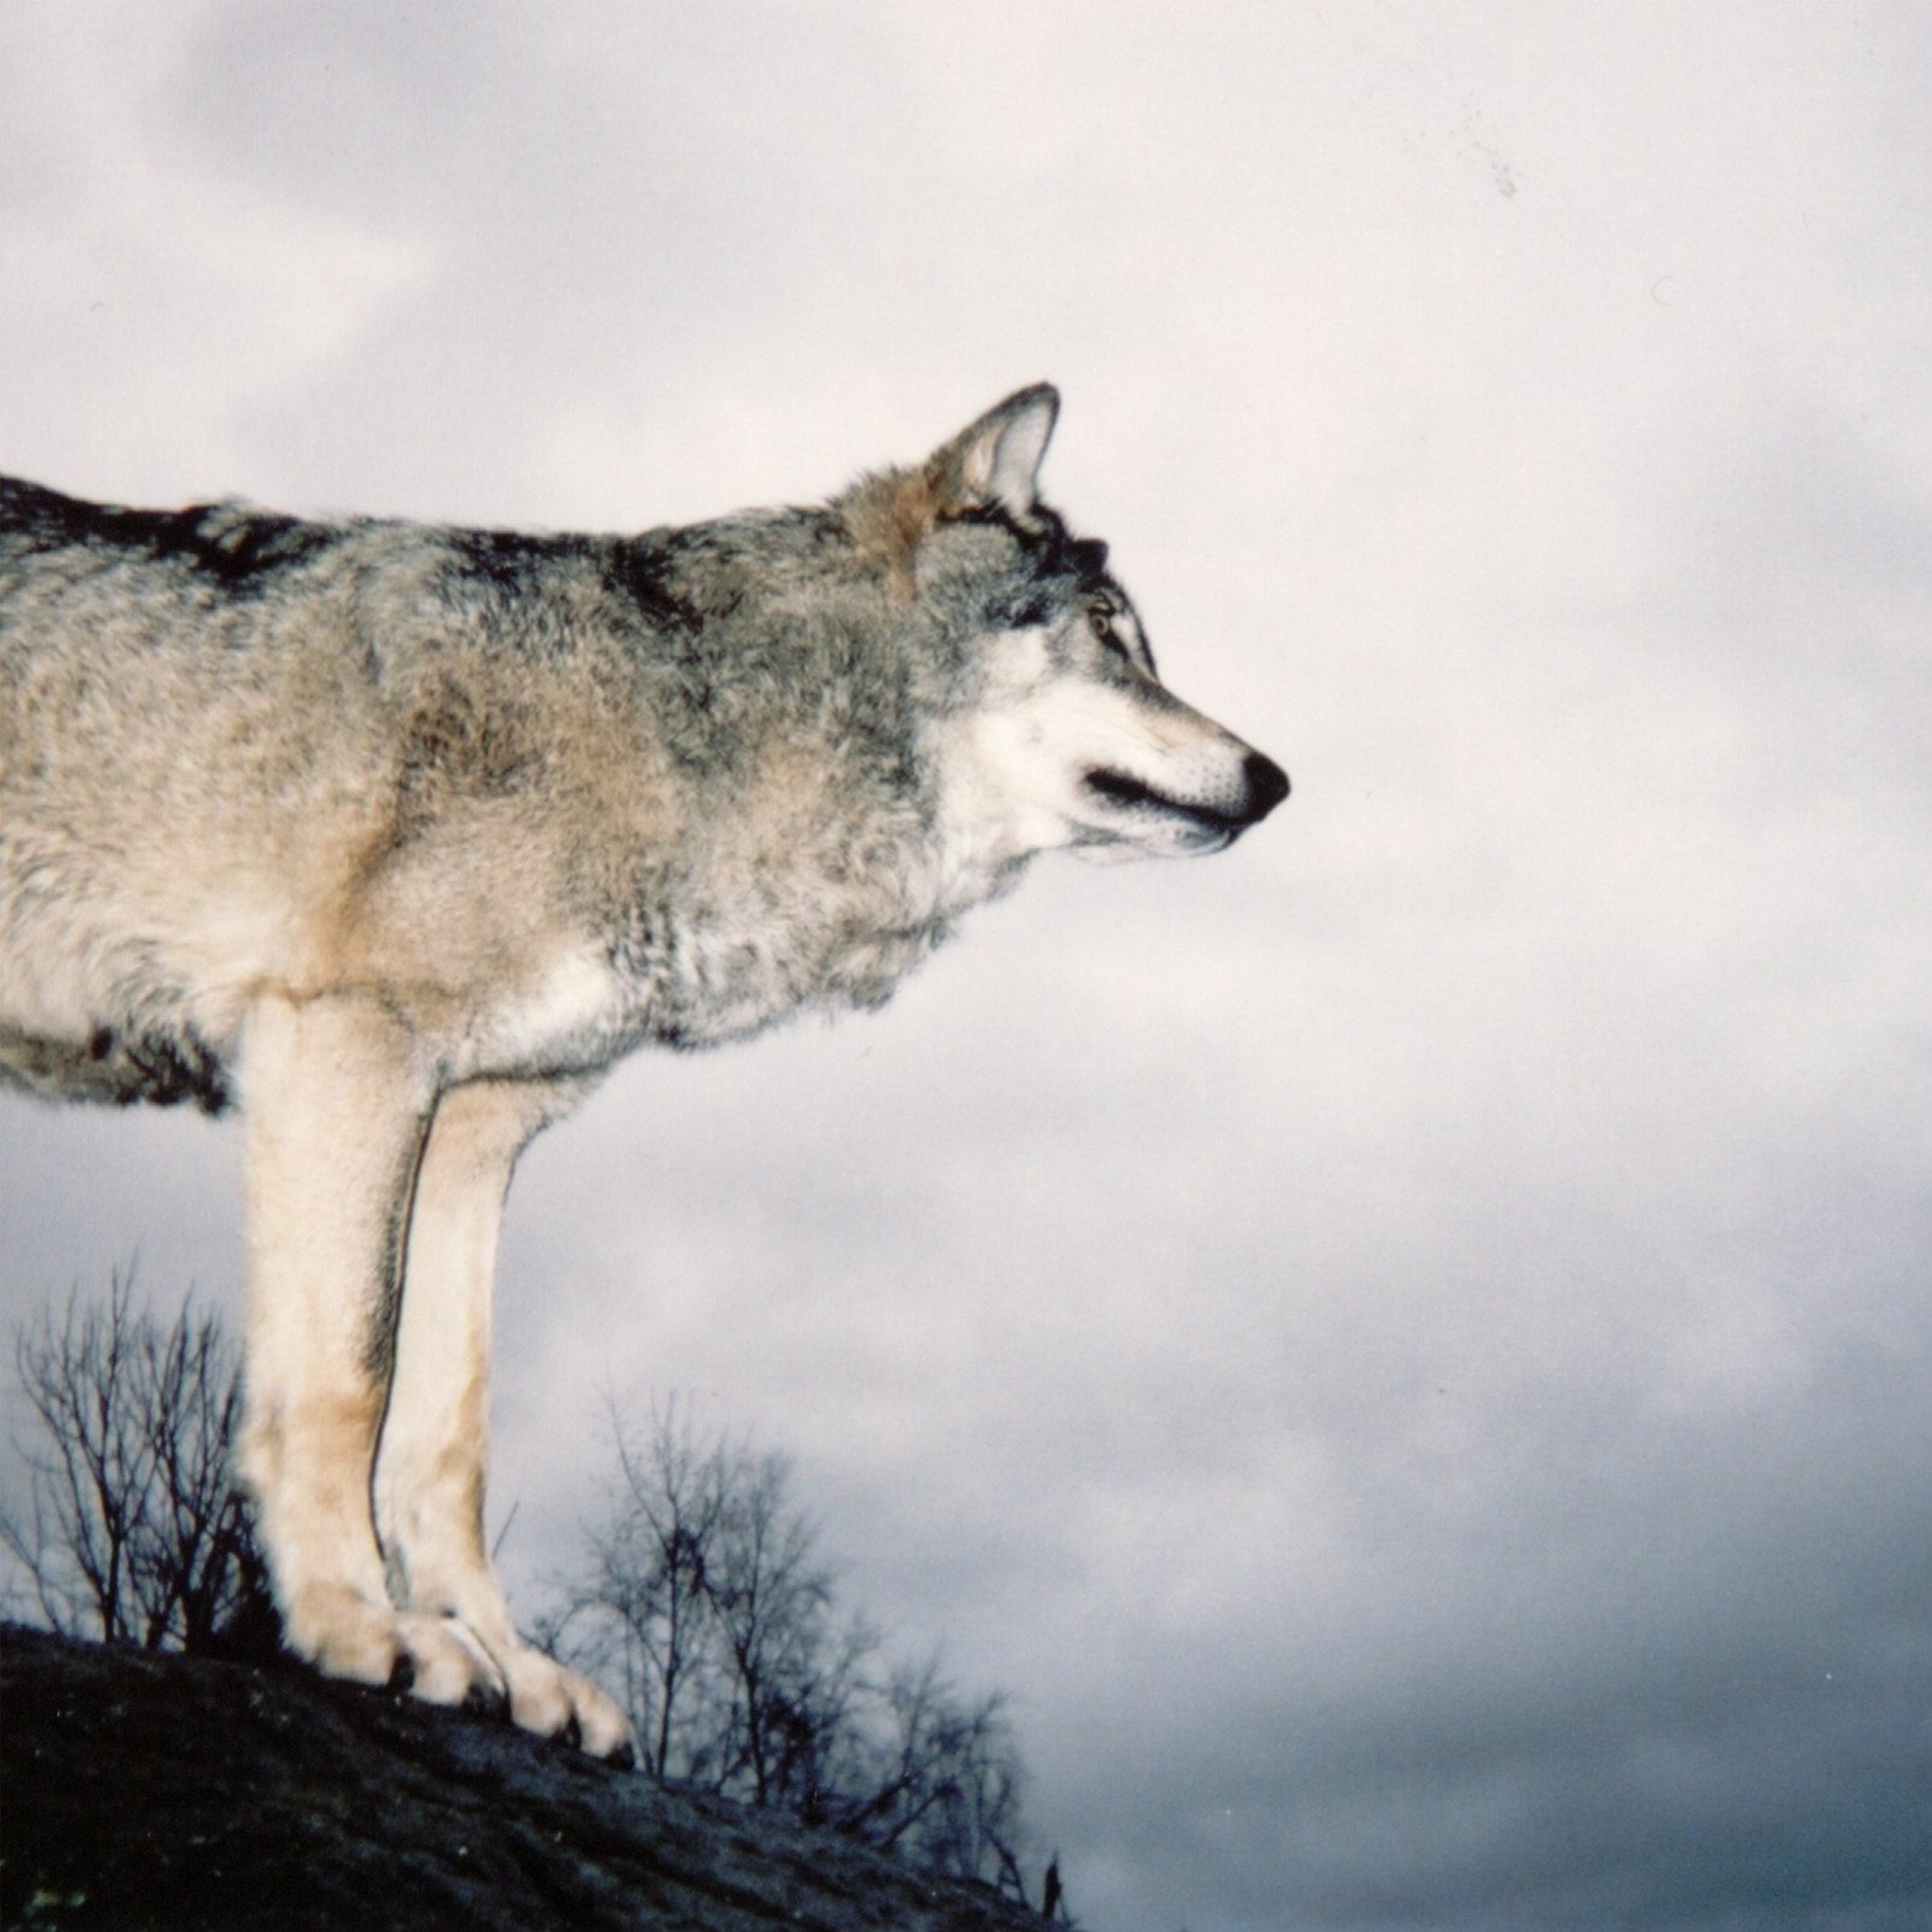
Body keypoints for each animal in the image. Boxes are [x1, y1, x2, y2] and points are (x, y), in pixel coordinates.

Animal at [0, 387, 1286, 1755]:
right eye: (1110, 637)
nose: (1274, 779)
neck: (683, 728)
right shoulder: (346, 1047)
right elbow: (349, 1380)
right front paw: (356, 1627)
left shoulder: (474, 1127)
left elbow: (446, 1430)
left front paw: (506, 1658)